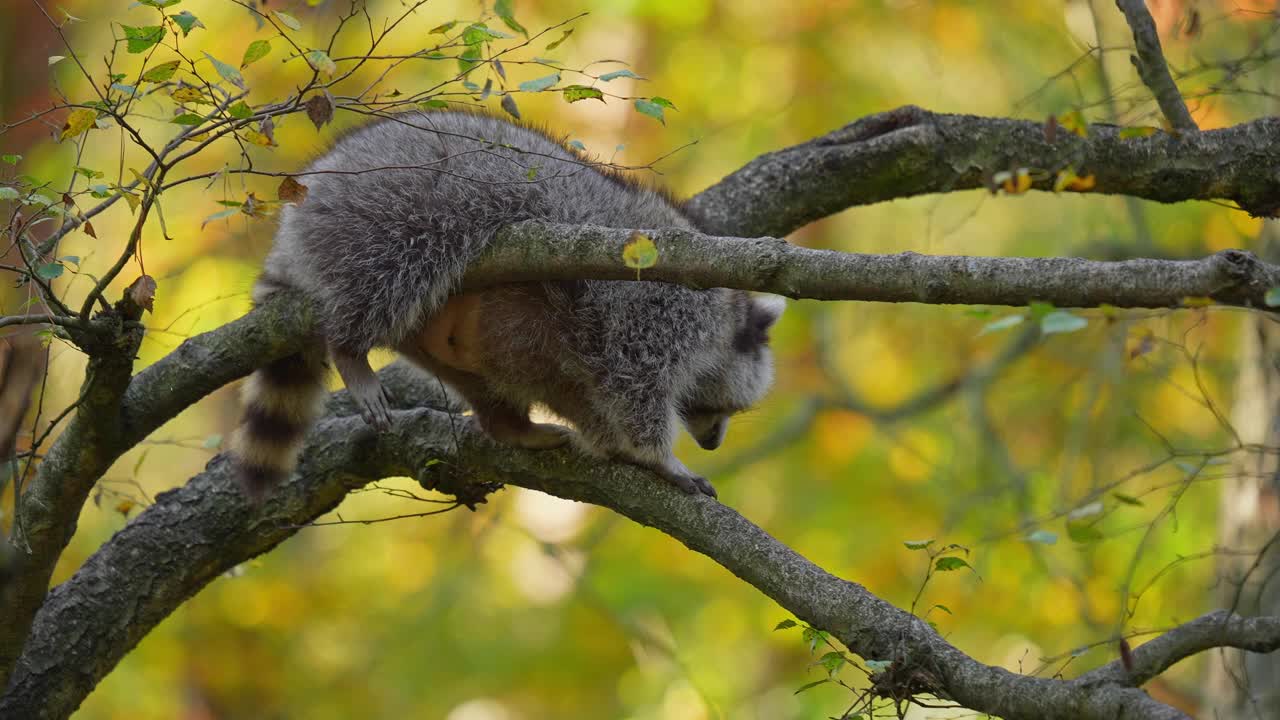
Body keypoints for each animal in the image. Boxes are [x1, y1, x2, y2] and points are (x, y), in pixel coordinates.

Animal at [234, 109, 783, 499]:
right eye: (725, 407)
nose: (713, 442)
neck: (727, 317)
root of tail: (307, 194)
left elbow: (586, 393)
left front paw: (612, 444)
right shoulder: (657, 306)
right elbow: (633, 386)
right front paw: (656, 456)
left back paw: (508, 424)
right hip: (389, 219)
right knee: (386, 284)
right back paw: (350, 348)